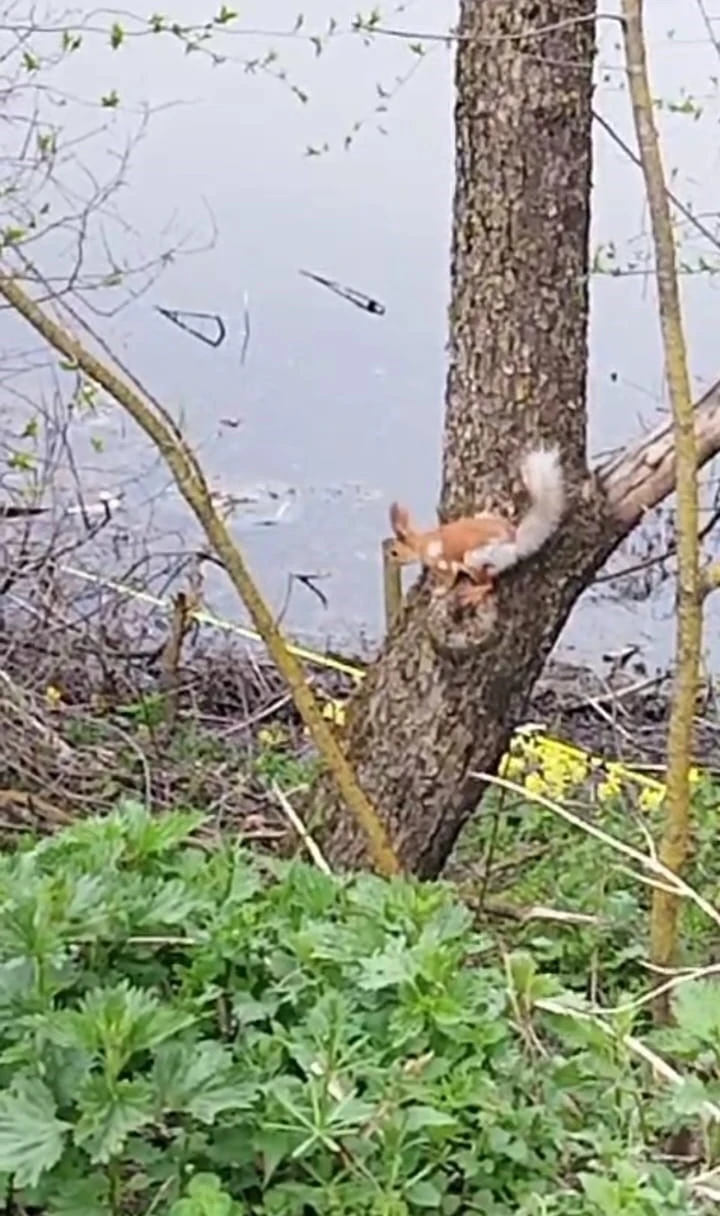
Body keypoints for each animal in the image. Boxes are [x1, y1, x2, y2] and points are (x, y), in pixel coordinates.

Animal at [391, 447, 564, 608]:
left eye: (394, 553)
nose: (392, 563)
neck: (422, 542)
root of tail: (514, 542)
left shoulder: (443, 563)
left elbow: (449, 579)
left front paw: (440, 591)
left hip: (474, 558)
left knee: (489, 584)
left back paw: (473, 594)